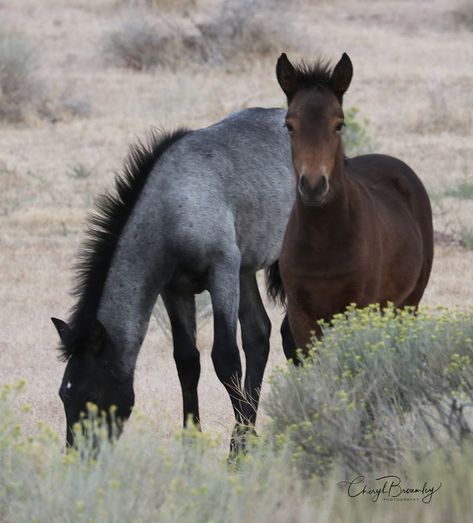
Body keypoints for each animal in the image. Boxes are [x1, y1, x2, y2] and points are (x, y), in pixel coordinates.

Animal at [51, 107, 296, 450]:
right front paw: (194, 443)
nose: (79, 454)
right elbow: (187, 361)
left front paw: (236, 453)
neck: (173, 206)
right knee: (259, 335)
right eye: (64, 395)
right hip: (246, 272)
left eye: (92, 396)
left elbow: (226, 359)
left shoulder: (222, 272)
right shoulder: (174, 290)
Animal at [272, 53, 434, 352]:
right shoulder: (301, 314)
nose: (314, 185)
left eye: (339, 124)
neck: (323, 239)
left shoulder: (358, 308)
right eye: (289, 126)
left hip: (409, 302)